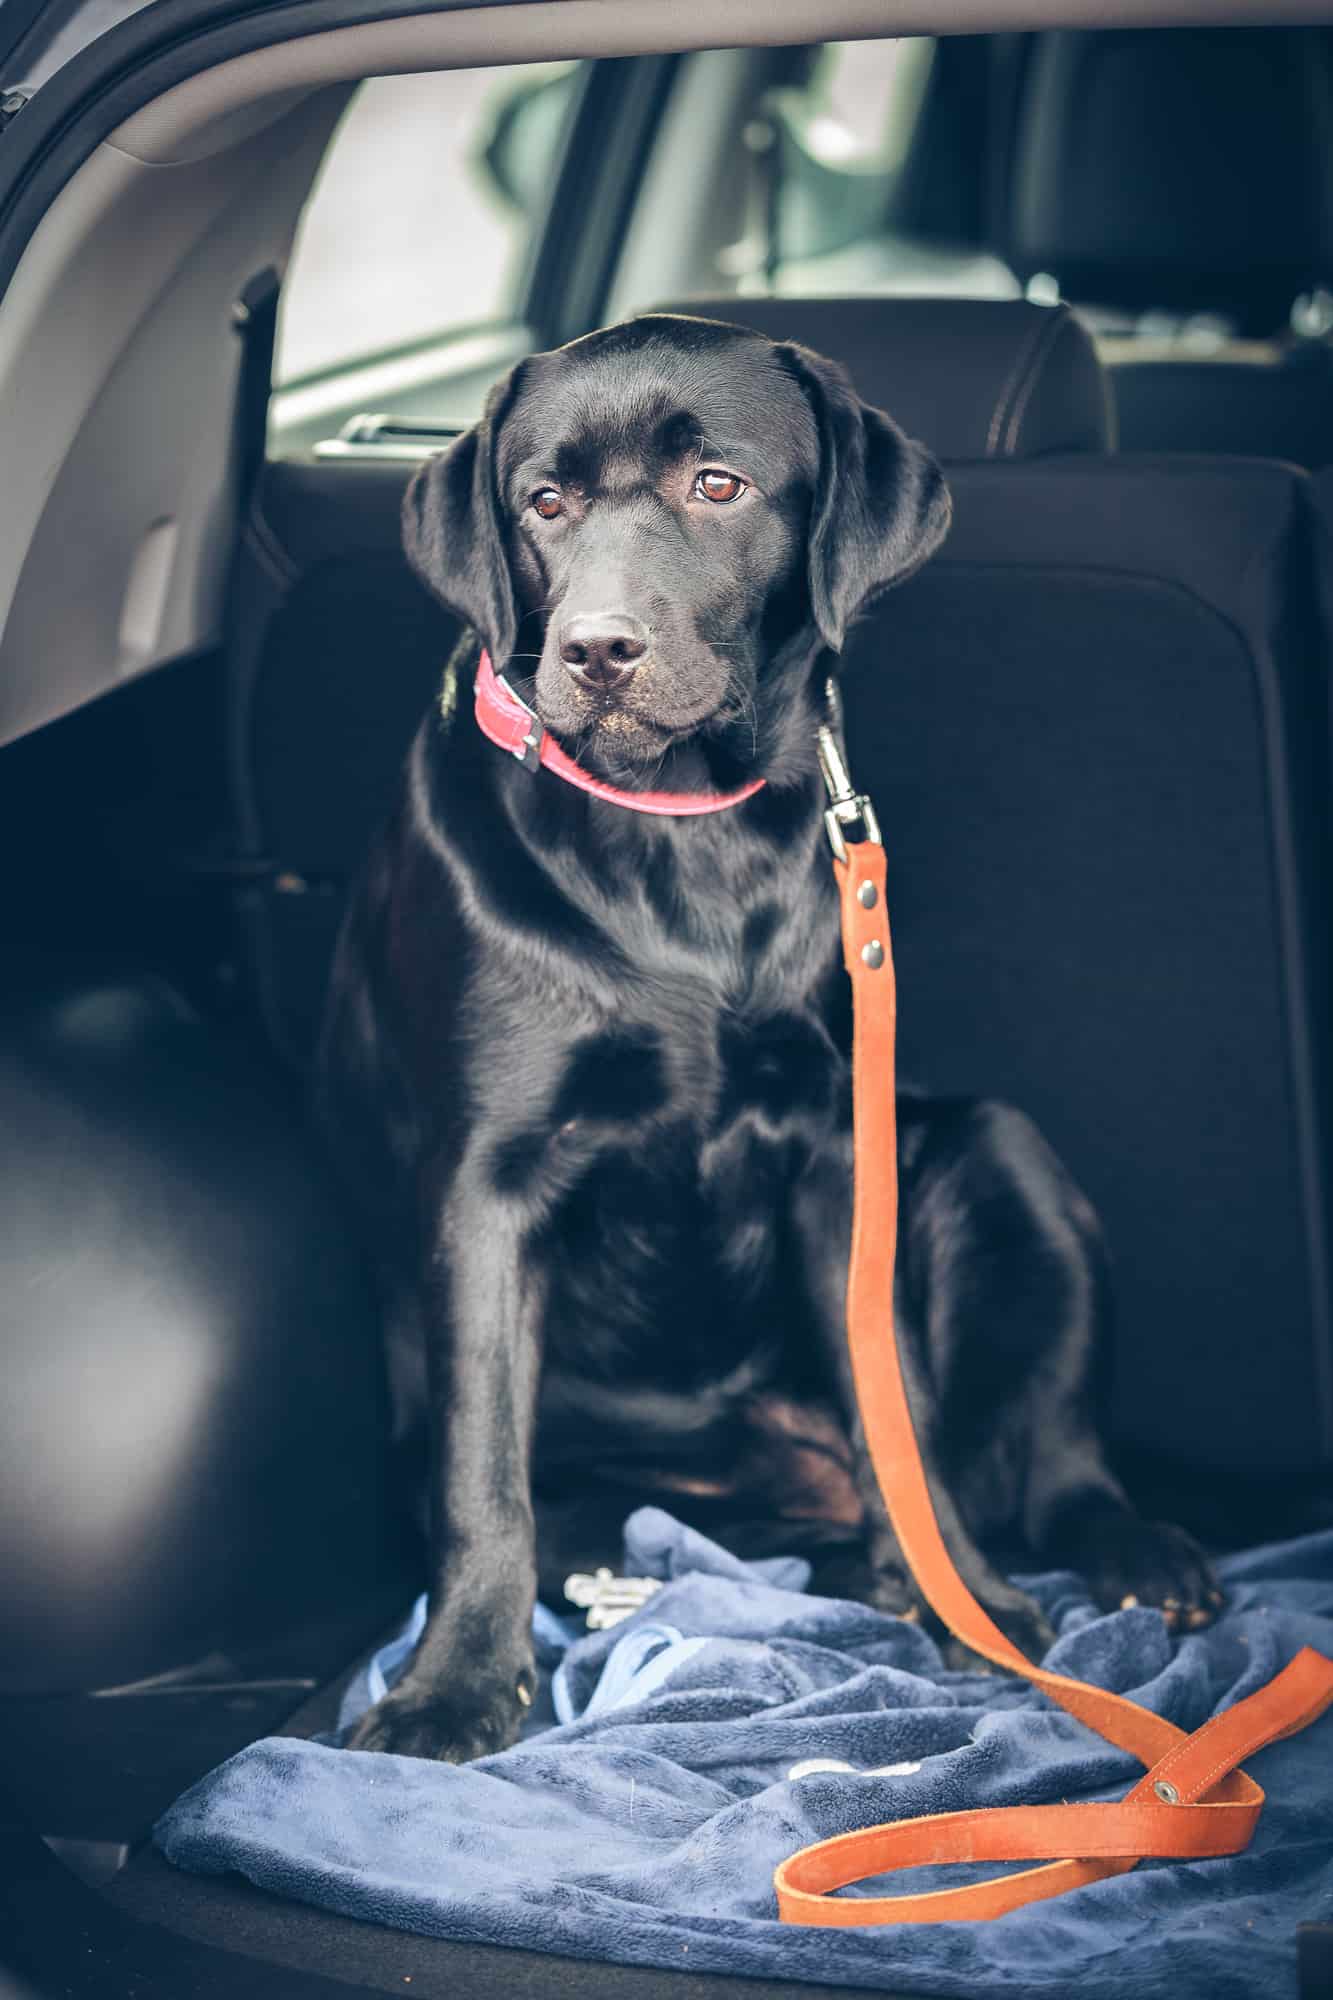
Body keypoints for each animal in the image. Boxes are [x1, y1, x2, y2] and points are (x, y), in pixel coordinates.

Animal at [320, 304, 1216, 1760]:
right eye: (544, 503)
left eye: (717, 485)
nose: (597, 648)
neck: (681, 838)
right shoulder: (484, 1182)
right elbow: (483, 1469)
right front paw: (452, 1684)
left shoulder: (838, 1150)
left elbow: (891, 1397)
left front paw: (968, 1595)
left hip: (1001, 1153)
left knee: (1047, 1462)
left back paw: (1124, 1556)